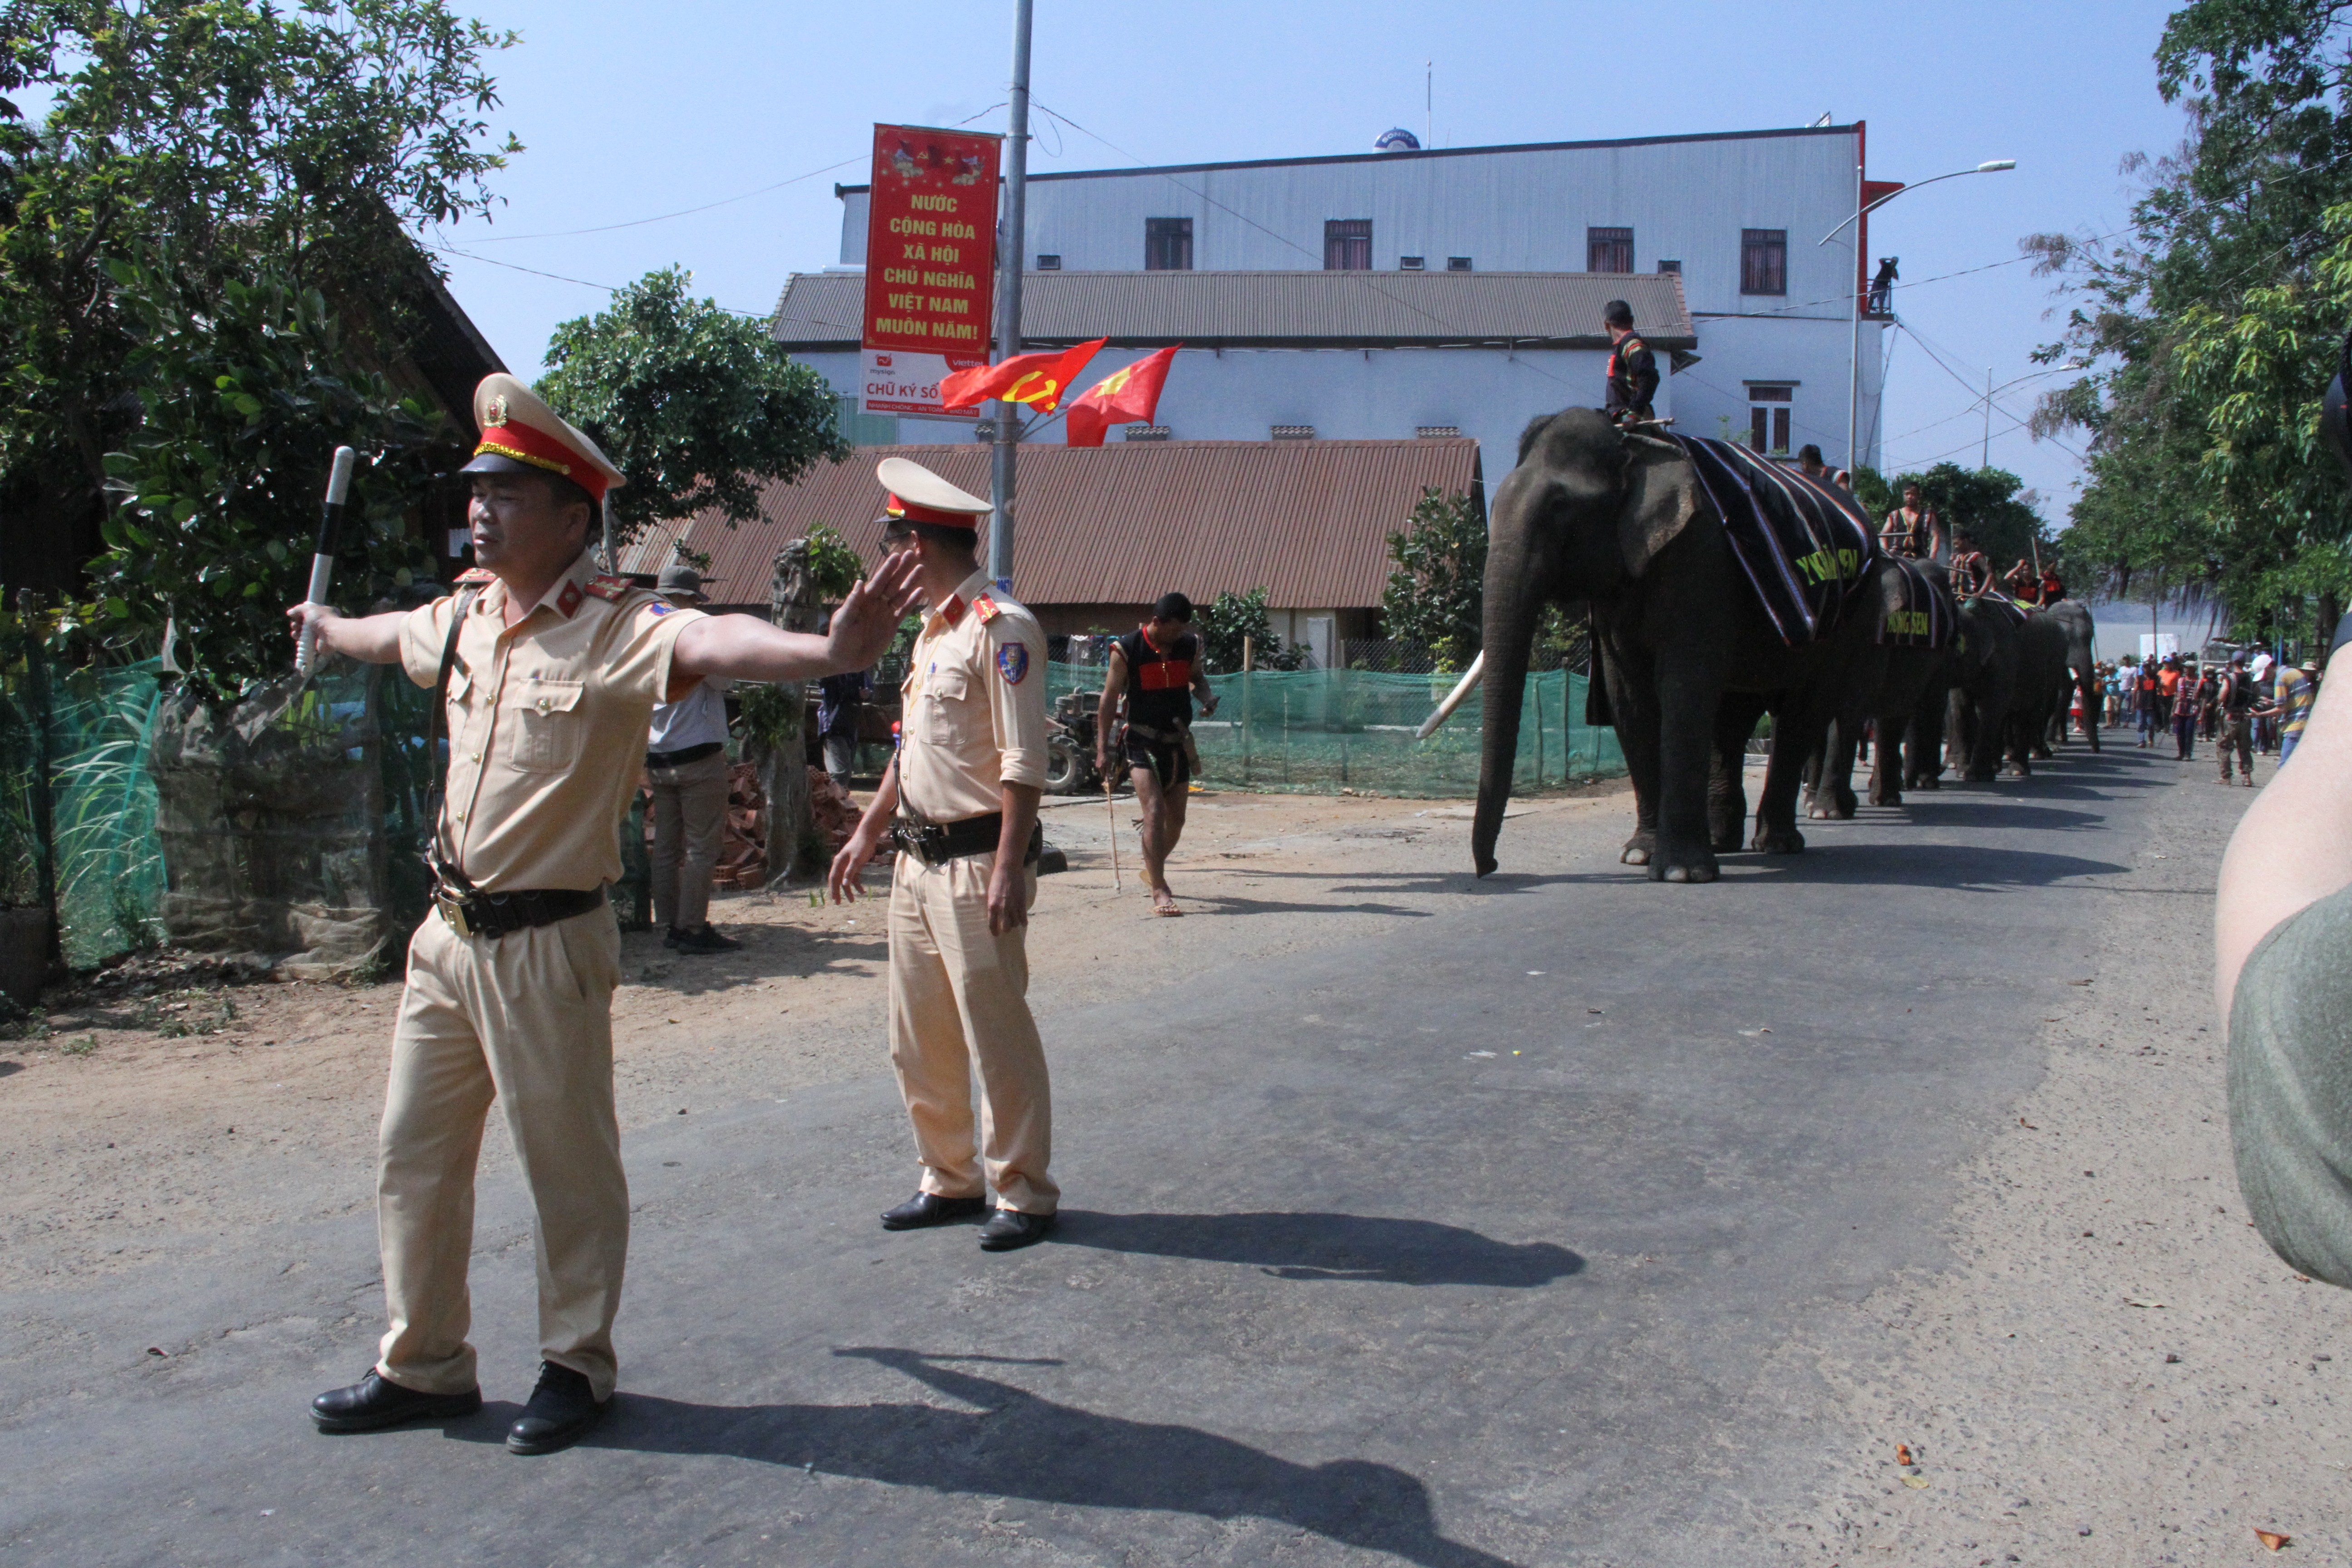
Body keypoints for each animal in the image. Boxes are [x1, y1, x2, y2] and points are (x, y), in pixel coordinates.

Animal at [1486, 409, 1891, 884]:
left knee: (1804, 709)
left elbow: (1683, 684)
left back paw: (1777, 844)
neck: (1635, 446)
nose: (1489, 866)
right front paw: (1639, 856)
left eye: (1560, 508)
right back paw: (1722, 841)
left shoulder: (1700, 554)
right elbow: (1629, 695)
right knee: (1733, 717)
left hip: (1851, 615)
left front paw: (1680, 873)